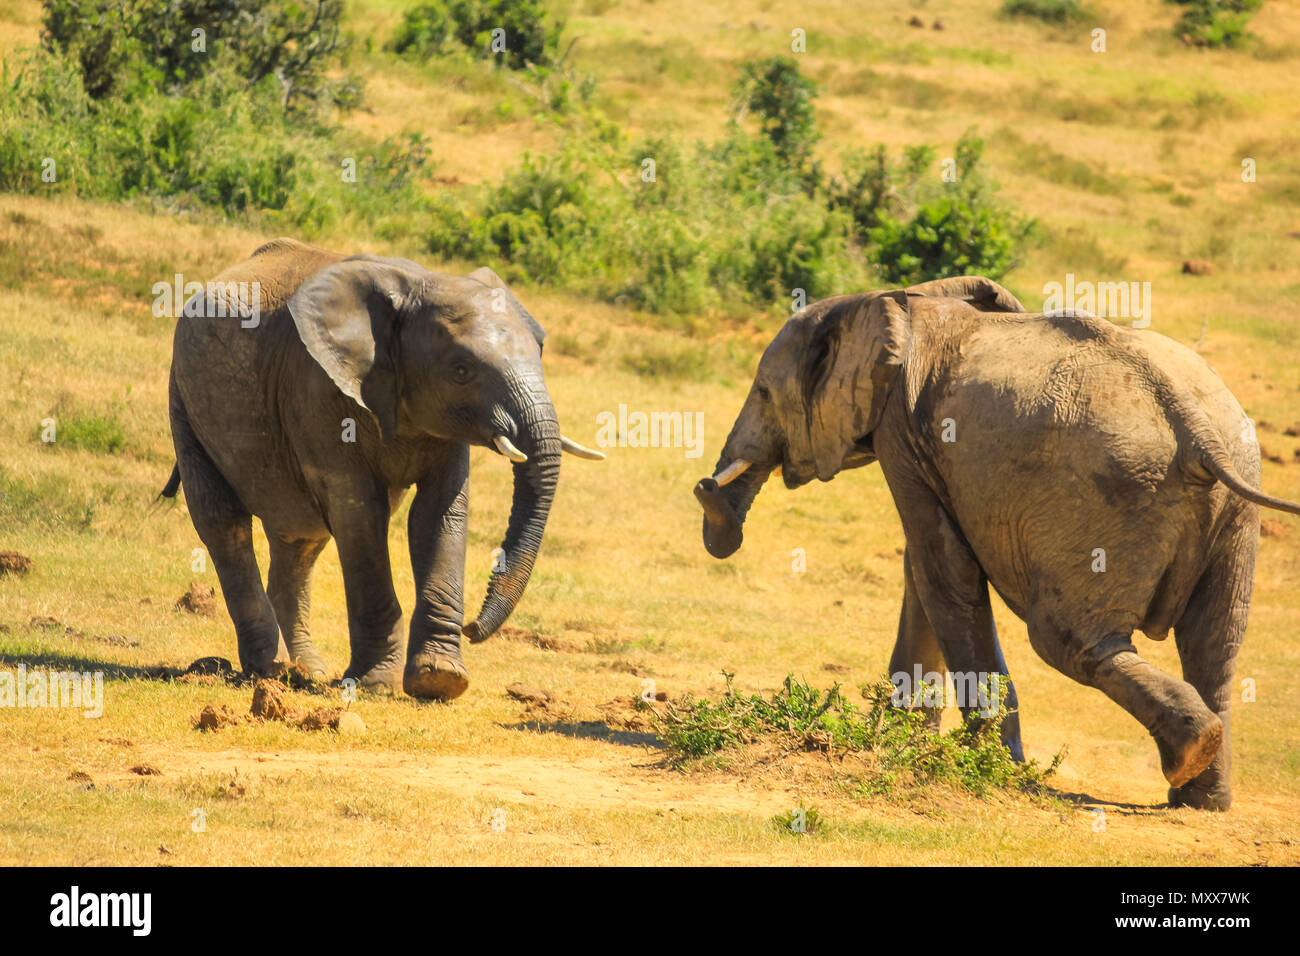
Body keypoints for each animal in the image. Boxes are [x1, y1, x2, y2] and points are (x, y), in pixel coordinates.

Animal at [162, 239, 603, 702]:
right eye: (461, 371)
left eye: (541, 351)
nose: (473, 627)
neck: (418, 285)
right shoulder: (316, 387)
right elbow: (359, 513)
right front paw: (377, 684)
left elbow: (438, 512)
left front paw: (440, 679)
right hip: (184, 399)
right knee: (223, 520)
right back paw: (268, 668)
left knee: (301, 539)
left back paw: (306, 672)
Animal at [702, 274, 1300, 806]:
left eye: (763, 392)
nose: (706, 487)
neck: (899, 300)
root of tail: (1196, 429)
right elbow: (925, 566)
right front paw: (903, 741)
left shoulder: (901, 431)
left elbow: (943, 569)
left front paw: (987, 766)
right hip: (1234, 508)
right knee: (1214, 646)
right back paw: (1200, 795)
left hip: (1113, 495)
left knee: (1067, 639)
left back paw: (1190, 755)